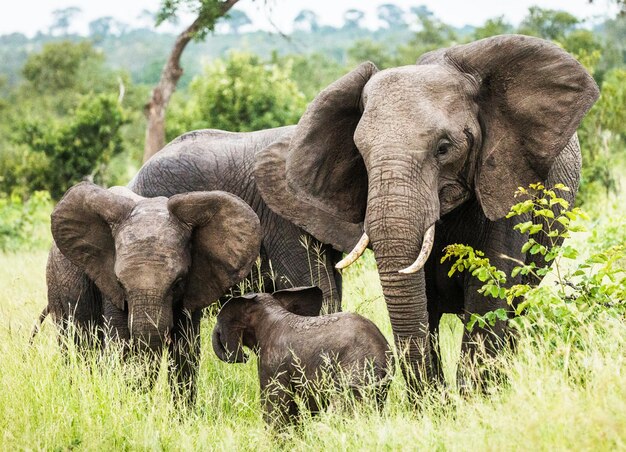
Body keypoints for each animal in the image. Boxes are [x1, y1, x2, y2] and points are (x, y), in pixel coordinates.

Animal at [129, 35, 596, 390]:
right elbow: (331, 293)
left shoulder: (514, 178)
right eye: (361, 156)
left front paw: (469, 407)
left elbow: (490, 292)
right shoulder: (284, 223)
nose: (433, 405)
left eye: (444, 148)